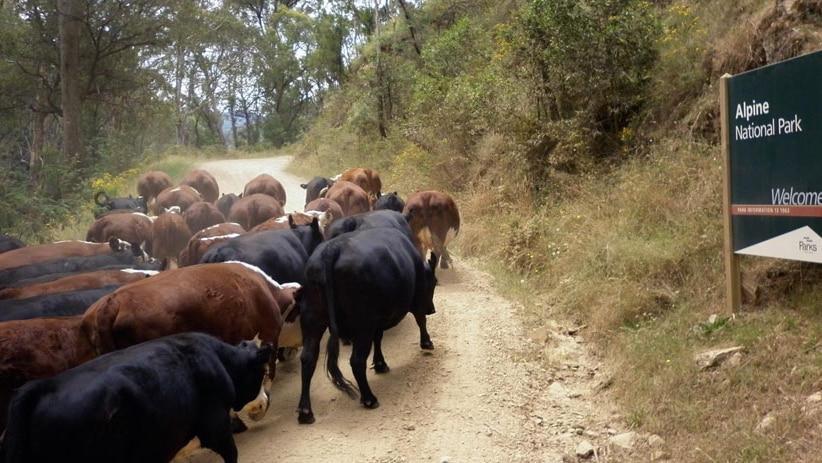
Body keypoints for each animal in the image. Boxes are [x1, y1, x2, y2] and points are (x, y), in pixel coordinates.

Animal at [0, 332, 274, 463]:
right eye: (261, 371)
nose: (263, 403)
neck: (219, 360)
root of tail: (40, 387)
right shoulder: (214, 424)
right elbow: (231, 453)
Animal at [296, 227, 438, 426]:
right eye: (434, 283)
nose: (432, 309)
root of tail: (331, 249)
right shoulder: (416, 299)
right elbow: (420, 320)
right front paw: (427, 343)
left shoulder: (376, 320)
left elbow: (379, 338)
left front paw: (380, 363)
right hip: (361, 325)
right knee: (356, 360)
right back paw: (369, 398)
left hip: (312, 320)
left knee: (308, 358)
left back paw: (305, 411)